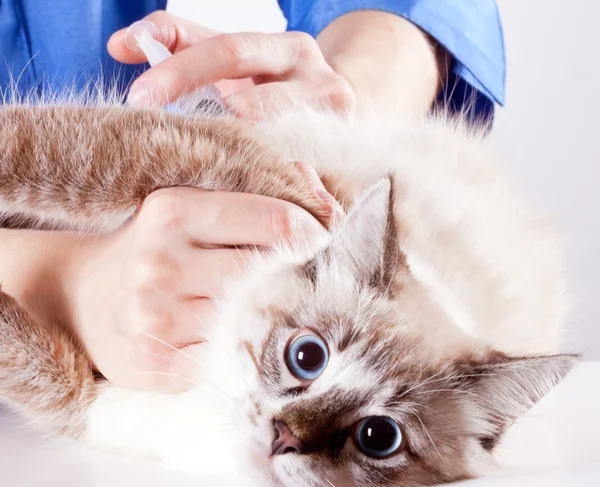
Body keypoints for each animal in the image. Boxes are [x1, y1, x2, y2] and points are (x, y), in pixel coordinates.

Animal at [0, 95, 576, 487]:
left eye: (378, 437)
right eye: (307, 356)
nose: (285, 436)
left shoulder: (89, 406)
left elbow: (27, 362)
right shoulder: (253, 174)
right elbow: (57, 154)